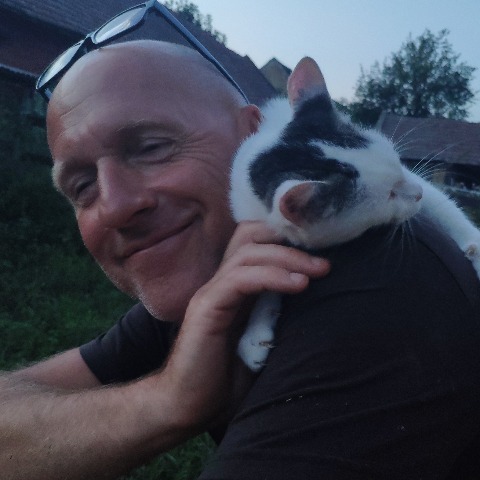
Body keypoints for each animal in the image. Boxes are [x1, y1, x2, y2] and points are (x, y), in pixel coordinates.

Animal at [231, 56, 480, 371]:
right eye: (389, 195)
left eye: (397, 163)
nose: (417, 194)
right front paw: (254, 332)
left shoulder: (415, 179)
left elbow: (444, 207)